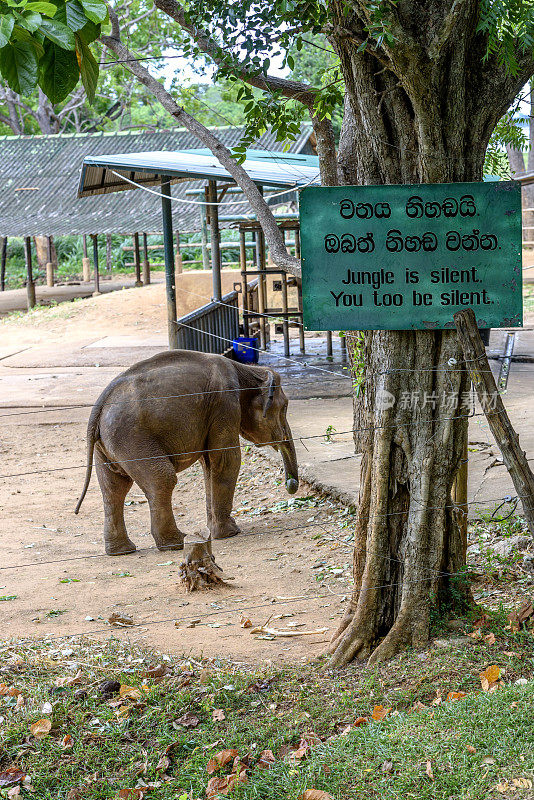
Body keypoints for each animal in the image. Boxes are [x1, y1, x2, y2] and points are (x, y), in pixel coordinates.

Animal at [75, 352, 300, 556]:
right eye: (285, 407)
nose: (291, 484)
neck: (245, 369)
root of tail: (99, 408)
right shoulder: (225, 403)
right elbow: (226, 459)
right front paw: (230, 533)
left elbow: (209, 464)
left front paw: (213, 531)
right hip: (132, 438)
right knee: (162, 479)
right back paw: (176, 543)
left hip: (108, 445)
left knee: (113, 488)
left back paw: (122, 551)